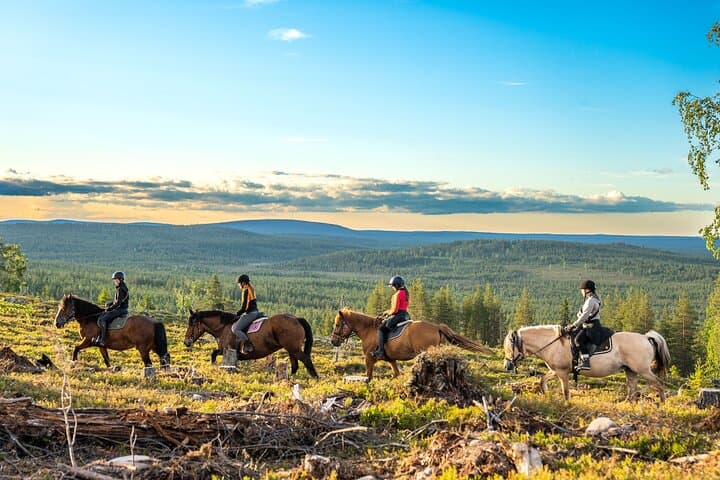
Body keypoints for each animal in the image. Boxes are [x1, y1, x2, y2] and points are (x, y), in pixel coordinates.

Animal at [183, 309, 319, 379]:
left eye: (192, 324)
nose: (186, 342)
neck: (224, 327)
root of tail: (296, 318)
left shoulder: (226, 349)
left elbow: (213, 354)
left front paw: (213, 366)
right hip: (291, 349)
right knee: (295, 365)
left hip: (294, 349)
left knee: (306, 360)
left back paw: (315, 378)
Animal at [330, 308, 494, 380]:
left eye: (338, 324)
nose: (333, 341)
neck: (368, 330)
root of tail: (436, 326)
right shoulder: (391, 359)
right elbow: (396, 373)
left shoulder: (369, 358)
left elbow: (368, 377)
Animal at [503, 325, 670, 401]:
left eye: (510, 347)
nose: (507, 366)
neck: (553, 343)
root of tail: (646, 337)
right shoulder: (556, 370)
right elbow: (542, 380)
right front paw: (546, 393)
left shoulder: (562, 372)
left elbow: (566, 391)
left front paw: (566, 403)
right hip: (630, 370)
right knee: (633, 389)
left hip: (643, 370)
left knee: (658, 383)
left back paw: (662, 402)